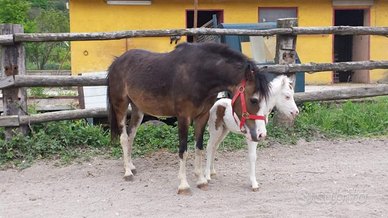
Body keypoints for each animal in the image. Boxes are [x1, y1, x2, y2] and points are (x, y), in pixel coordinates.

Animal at [106, 42, 270, 194]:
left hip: (138, 110)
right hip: (121, 106)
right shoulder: (184, 117)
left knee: (131, 136)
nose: (261, 134)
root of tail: (117, 61)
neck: (198, 75)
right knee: (123, 137)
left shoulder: (202, 117)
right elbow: (183, 150)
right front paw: (184, 185)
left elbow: (199, 148)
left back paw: (130, 166)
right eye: (253, 100)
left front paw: (201, 180)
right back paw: (127, 173)